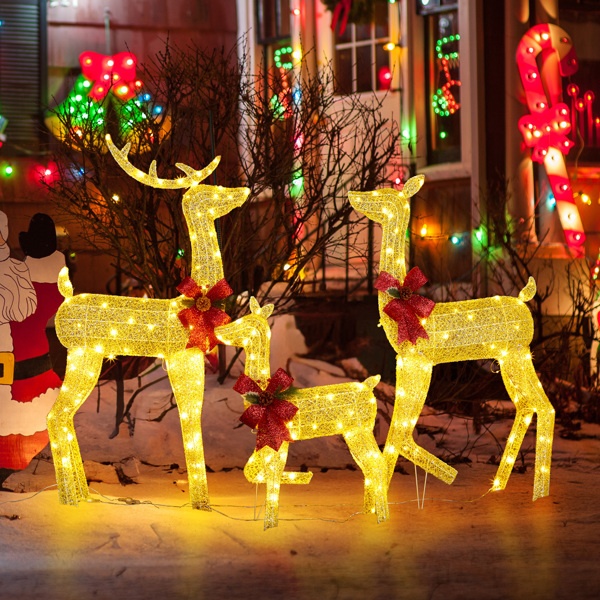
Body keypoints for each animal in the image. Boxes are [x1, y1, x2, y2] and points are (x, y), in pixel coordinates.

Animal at [47, 137, 248, 510]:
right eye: (211, 191)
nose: (243, 190)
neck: (194, 297)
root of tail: (64, 300)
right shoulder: (181, 358)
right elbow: (190, 420)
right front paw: (202, 505)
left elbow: (193, 417)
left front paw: (202, 502)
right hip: (84, 356)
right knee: (56, 415)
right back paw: (69, 500)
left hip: (87, 359)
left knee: (63, 417)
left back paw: (83, 496)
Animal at [216, 298, 390, 528]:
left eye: (244, 321)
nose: (218, 330)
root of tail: (370, 386)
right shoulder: (270, 441)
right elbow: (251, 471)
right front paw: (300, 478)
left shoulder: (280, 441)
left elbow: (271, 475)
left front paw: (270, 524)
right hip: (354, 433)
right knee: (370, 467)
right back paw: (368, 512)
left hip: (360, 431)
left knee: (378, 465)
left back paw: (382, 518)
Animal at [350, 177, 556, 502]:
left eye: (382, 194)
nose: (352, 194)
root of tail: (526, 300)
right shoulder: (404, 363)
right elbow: (397, 428)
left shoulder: (420, 364)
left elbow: (400, 429)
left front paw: (447, 473)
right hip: (509, 360)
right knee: (526, 406)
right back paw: (498, 484)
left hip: (518, 355)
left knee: (544, 406)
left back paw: (538, 493)